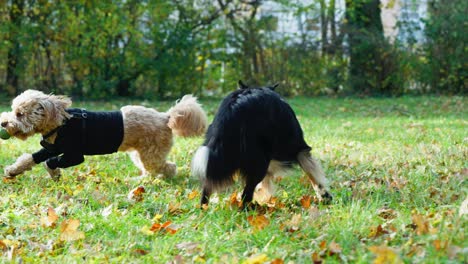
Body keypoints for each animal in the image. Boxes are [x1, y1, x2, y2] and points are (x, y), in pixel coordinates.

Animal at [0, 89, 207, 180]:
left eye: (19, 113)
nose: (3, 122)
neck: (60, 122)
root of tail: (166, 116)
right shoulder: (53, 147)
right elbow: (31, 158)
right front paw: (13, 171)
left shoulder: (74, 155)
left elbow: (51, 161)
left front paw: (54, 172)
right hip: (140, 153)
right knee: (153, 169)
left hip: (152, 154)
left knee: (167, 167)